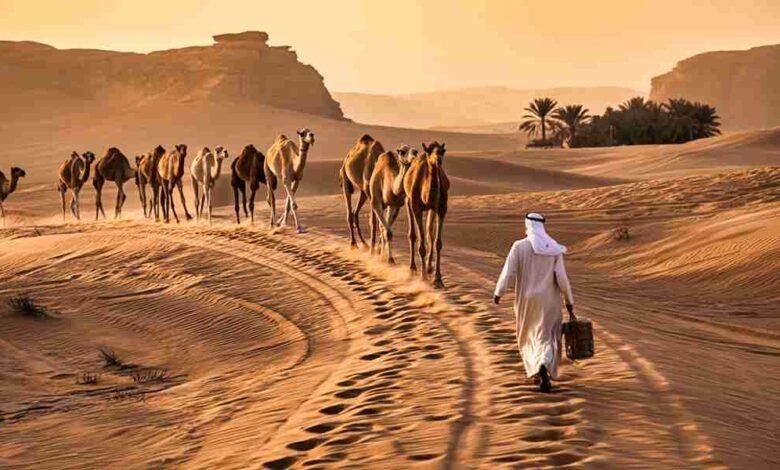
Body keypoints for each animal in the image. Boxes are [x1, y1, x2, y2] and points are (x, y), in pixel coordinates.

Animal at [404, 141, 450, 288]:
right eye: (429, 150)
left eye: (442, 150)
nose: (438, 157)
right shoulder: (417, 208)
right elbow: (421, 243)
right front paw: (423, 277)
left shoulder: (441, 208)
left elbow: (437, 242)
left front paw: (438, 279)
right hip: (408, 201)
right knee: (413, 235)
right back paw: (413, 268)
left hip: (431, 209)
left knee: (430, 233)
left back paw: (429, 267)